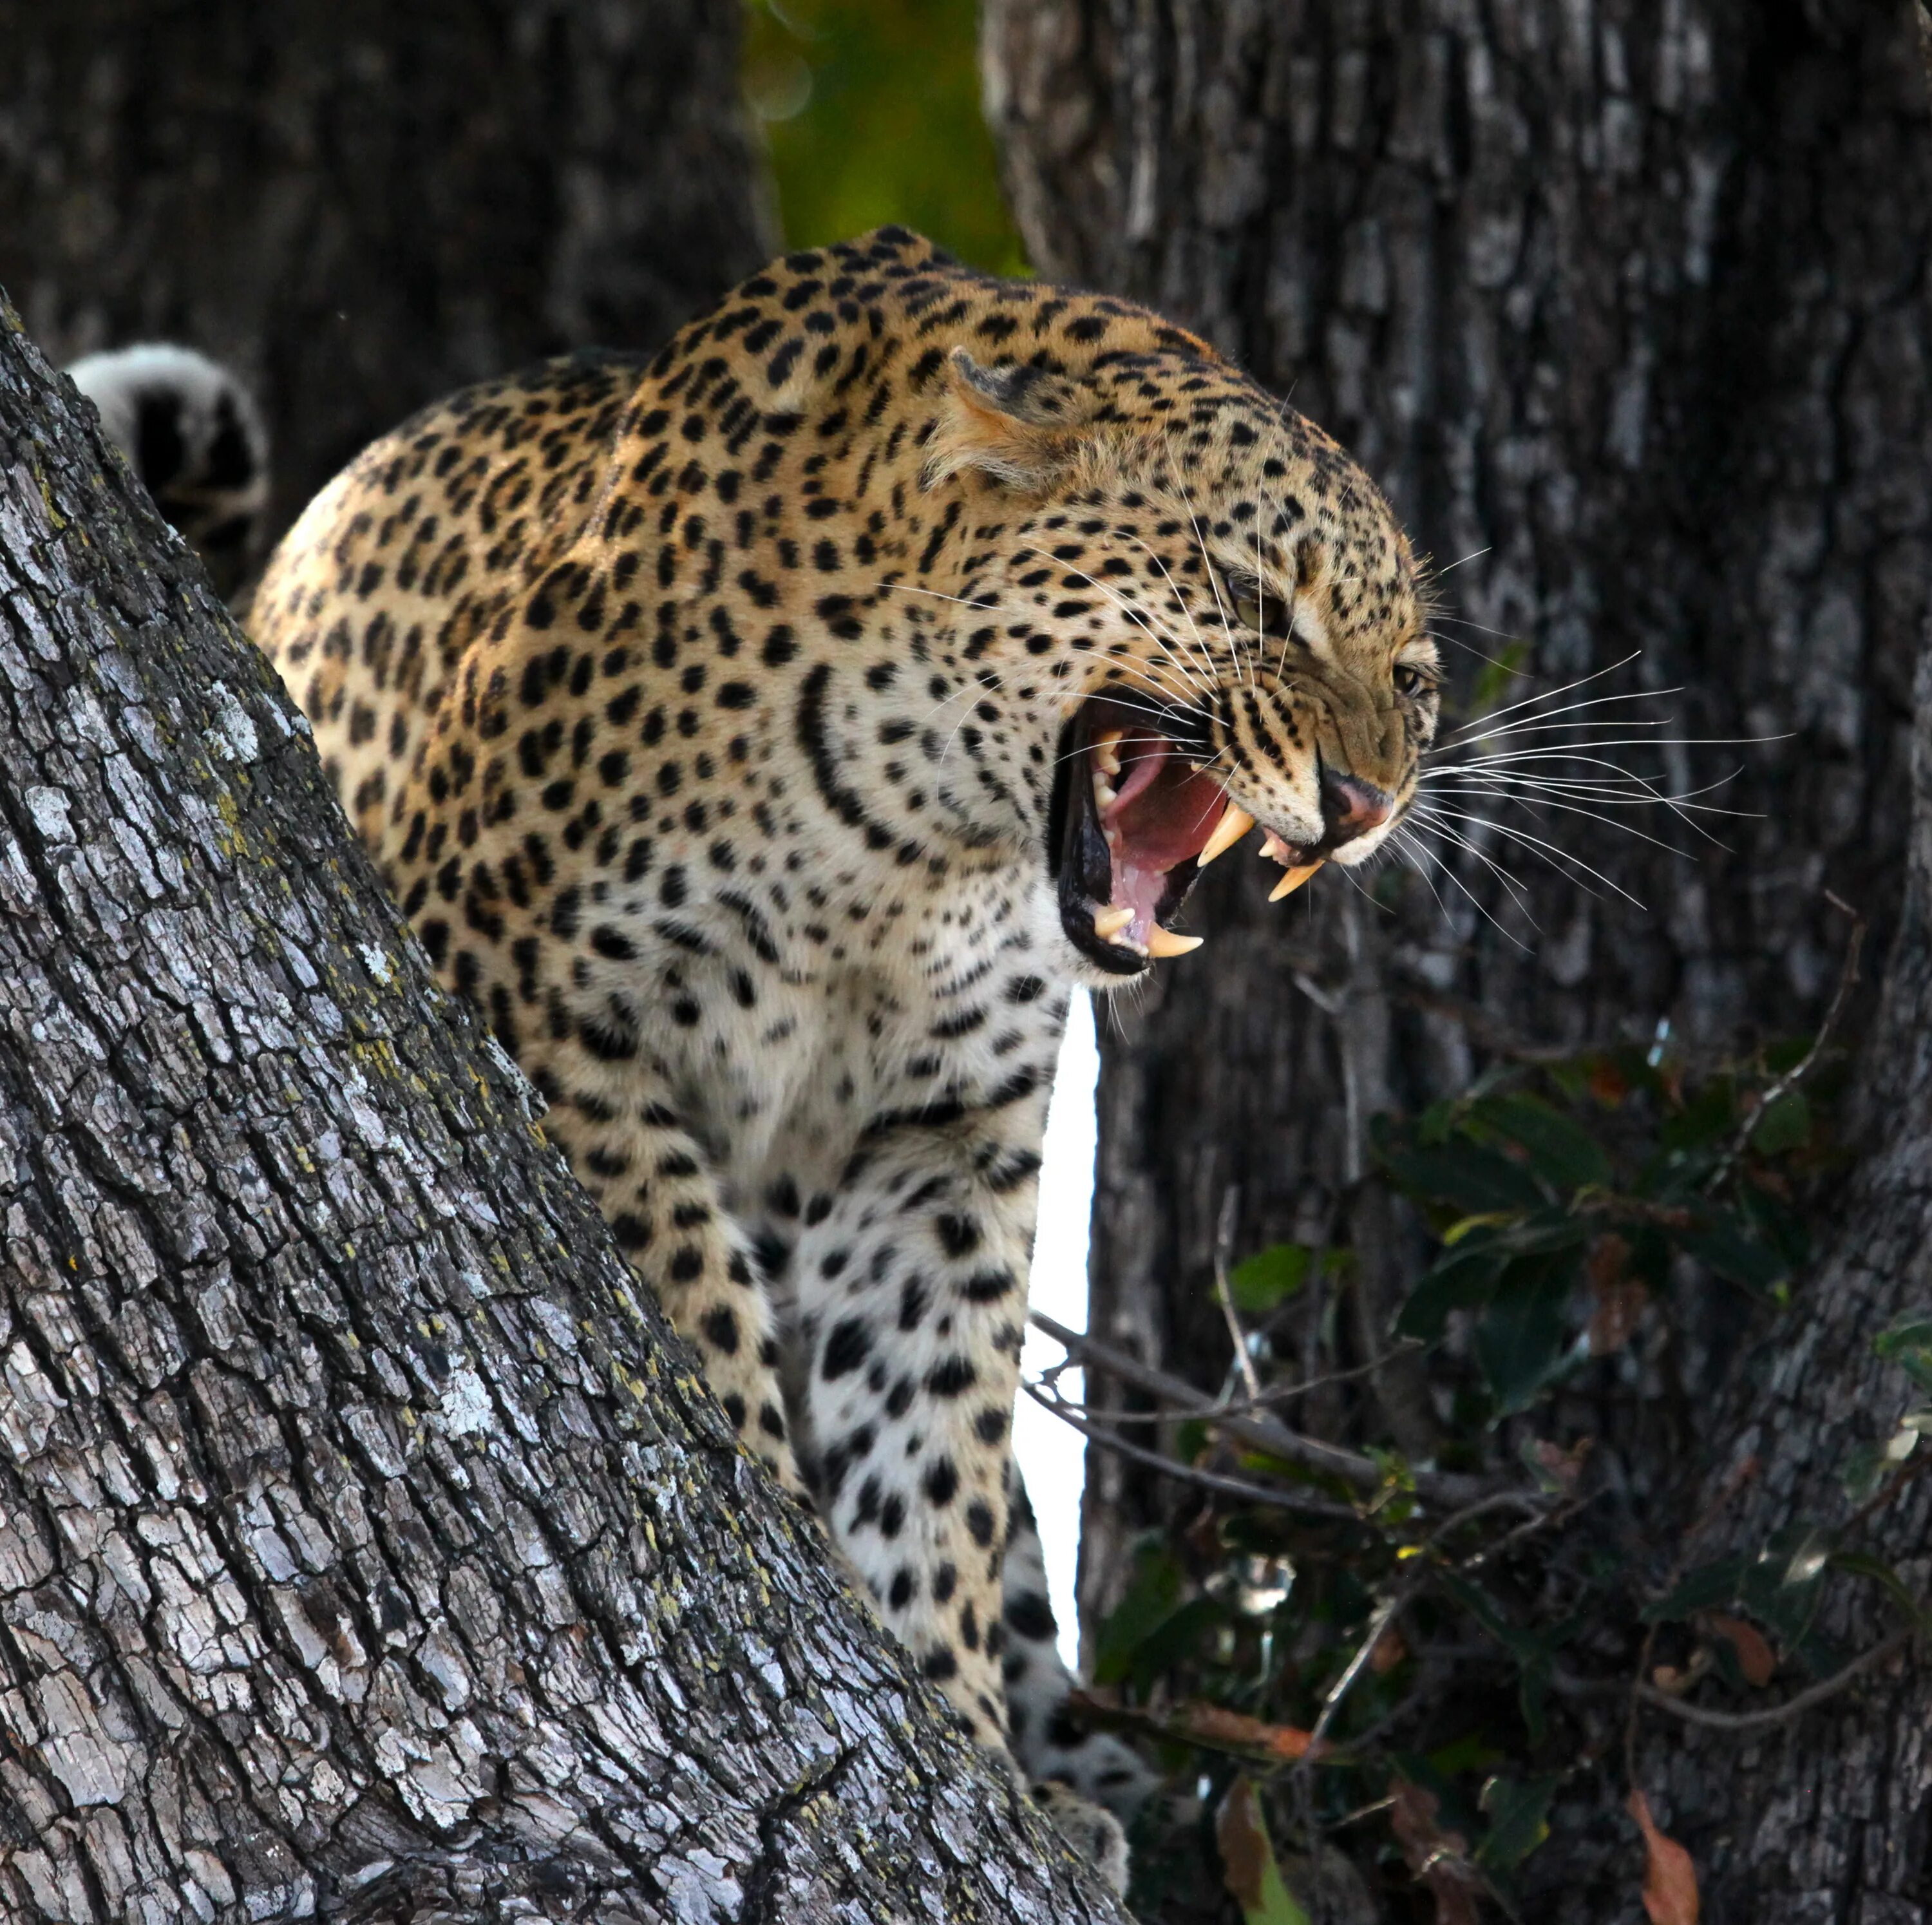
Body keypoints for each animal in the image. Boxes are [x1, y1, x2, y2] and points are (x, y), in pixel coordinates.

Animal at [242, 229, 1445, 1893]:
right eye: (1253, 593)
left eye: (1415, 678)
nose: (1365, 802)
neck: (914, 837)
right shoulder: (549, 1005)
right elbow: (690, 1301)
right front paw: (765, 1525)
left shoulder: (942, 1139)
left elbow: (934, 1441)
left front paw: (960, 1743)